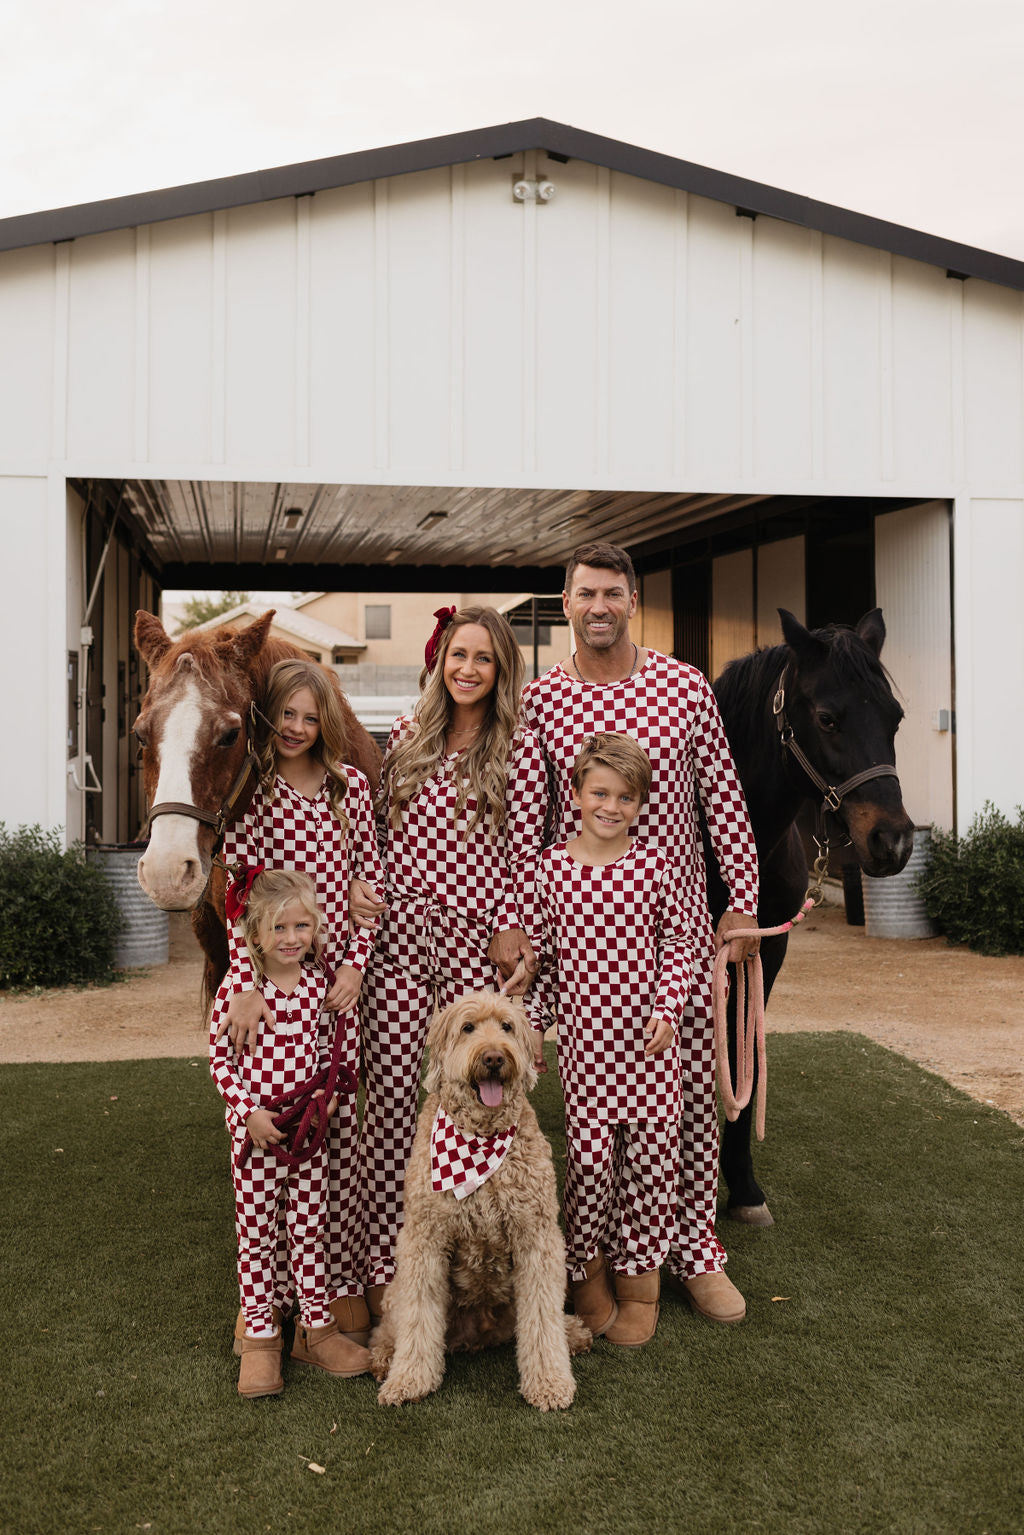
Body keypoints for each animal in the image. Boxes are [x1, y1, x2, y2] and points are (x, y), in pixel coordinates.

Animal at [373, 988, 589, 1406]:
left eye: (507, 1026)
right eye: (468, 1028)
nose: (493, 1057)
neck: (480, 1139)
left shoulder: (537, 1238)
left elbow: (543, 1318)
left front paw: (549, 1382)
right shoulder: (424, 1241)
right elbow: (418, 1317)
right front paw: (408, 1380)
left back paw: (573, 1333)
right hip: (398, 1284)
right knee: (390, 1325)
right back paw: (383, 1359)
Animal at [709, 610, 914, 1221]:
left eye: (895, 718)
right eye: (827, 717)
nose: (893, 842)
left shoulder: (762, 951)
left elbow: (742, 1055)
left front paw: (743, 1186)